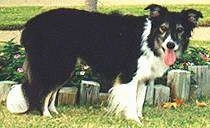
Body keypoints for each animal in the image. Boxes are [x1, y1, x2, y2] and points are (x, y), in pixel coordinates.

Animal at [6, 3, 202, 122]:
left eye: (180, 30)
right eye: (163, 28)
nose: (171, 45)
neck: (149, 40)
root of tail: (30, 24)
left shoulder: (143, 79)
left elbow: (139, 101)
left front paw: (139, 118)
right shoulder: (129, 76)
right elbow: (130, 101)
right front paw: (133, 120)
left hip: (64, 68)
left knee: (52, 91)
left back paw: (54, 111)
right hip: (58, 65)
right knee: (43, 91)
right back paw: (45, 115)